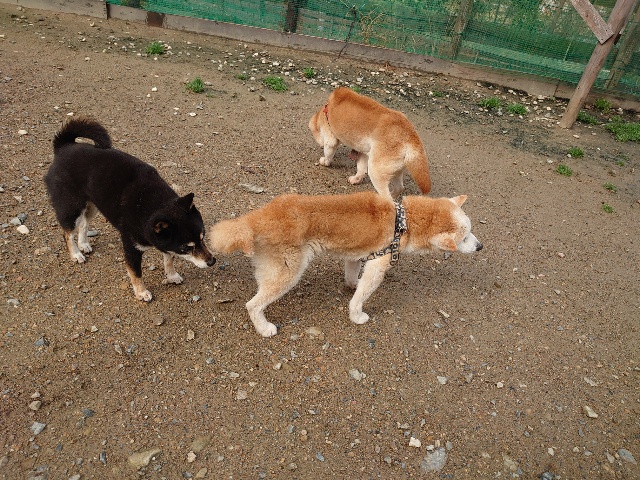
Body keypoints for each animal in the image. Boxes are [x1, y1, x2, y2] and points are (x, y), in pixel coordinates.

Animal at [45, 117, 216, 301]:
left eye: (202, 238)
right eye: (186, 248)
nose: (212, 261)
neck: (151, 205)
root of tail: (63, 147)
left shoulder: (166, 243)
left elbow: (168, 260)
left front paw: (171, 276)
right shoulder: (131, 248)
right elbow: (136, 273)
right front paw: (141, 292)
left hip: (92, 205)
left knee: (83, 224)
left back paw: (83, 244)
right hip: (71, 207)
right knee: (68, 233)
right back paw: (76, 254)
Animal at [209, 191, 482, 337]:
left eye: (471, 232)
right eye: (464, 237)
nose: (480, 246)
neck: (402, 220)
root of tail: (259, 217)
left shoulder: (356, 255)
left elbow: (353, 277)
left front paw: (352, 285)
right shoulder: (378, 264)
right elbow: (361, 297)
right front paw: (357, 315)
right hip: (288, 272)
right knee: (253, 305)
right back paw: (264, 328)